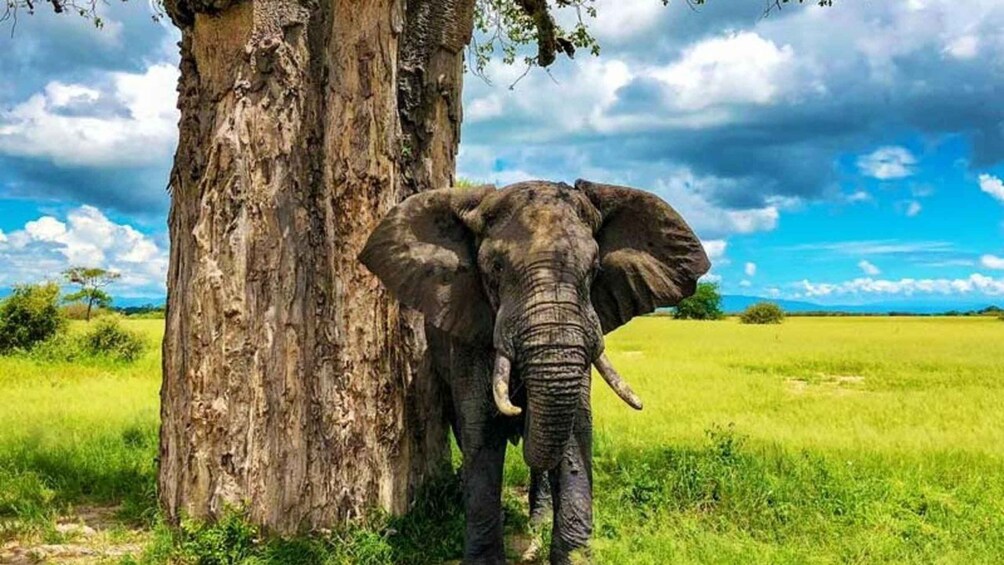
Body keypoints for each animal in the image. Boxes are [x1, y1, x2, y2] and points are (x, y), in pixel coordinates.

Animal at [359, 180, 710, 564]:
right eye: (496, 268)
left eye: (594, 269)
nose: (517, 407)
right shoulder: (469, 329)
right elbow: (482, 434)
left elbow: (574, 431)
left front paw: (574, 558)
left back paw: (537, 523)